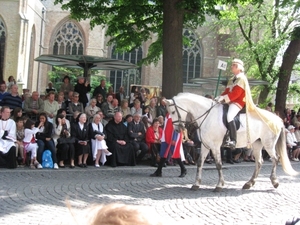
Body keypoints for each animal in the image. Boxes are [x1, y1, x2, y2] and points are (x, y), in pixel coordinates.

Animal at [164, 92, 298, 191]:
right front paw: (196, 184)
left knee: (275, 159)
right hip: (257, 144)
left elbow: (218, 164)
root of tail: (277, 118)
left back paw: (274, 181)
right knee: (259, 162)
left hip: (268, 144)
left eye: (173, 112)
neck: (208, 115)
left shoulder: (215, 146)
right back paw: (249, 183)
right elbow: (200, 163)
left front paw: (219, 185)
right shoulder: (205, 145)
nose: (178, 129)